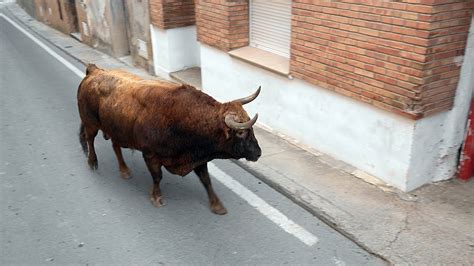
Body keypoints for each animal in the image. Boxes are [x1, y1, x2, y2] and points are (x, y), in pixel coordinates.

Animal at [78, 64, 262, 214]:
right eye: (240, 133)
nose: (258, 153)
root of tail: (94, 71)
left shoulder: (198, 158)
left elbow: (206, 180)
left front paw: (217, 205)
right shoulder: (150, 155)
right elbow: (157, 177)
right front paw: (156, 198)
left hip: (116, 131)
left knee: (115, 147)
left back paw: (124, 170)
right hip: (90, 123)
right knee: (90, 140)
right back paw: (92, 162)